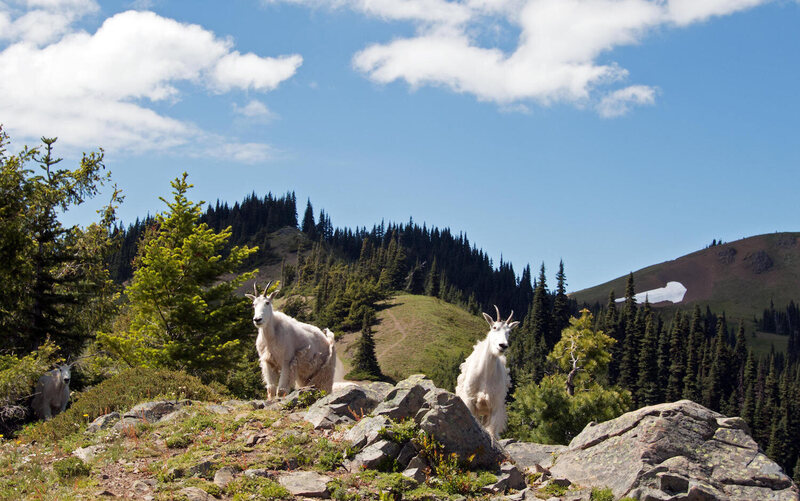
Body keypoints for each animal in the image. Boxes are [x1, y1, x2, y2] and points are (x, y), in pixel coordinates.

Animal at [456, 304, 520, 438]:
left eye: (509, 332)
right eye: (494, 327)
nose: (503, 345)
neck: (485, 375)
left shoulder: (495, 406)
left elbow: (492, 432)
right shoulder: (470, 401)